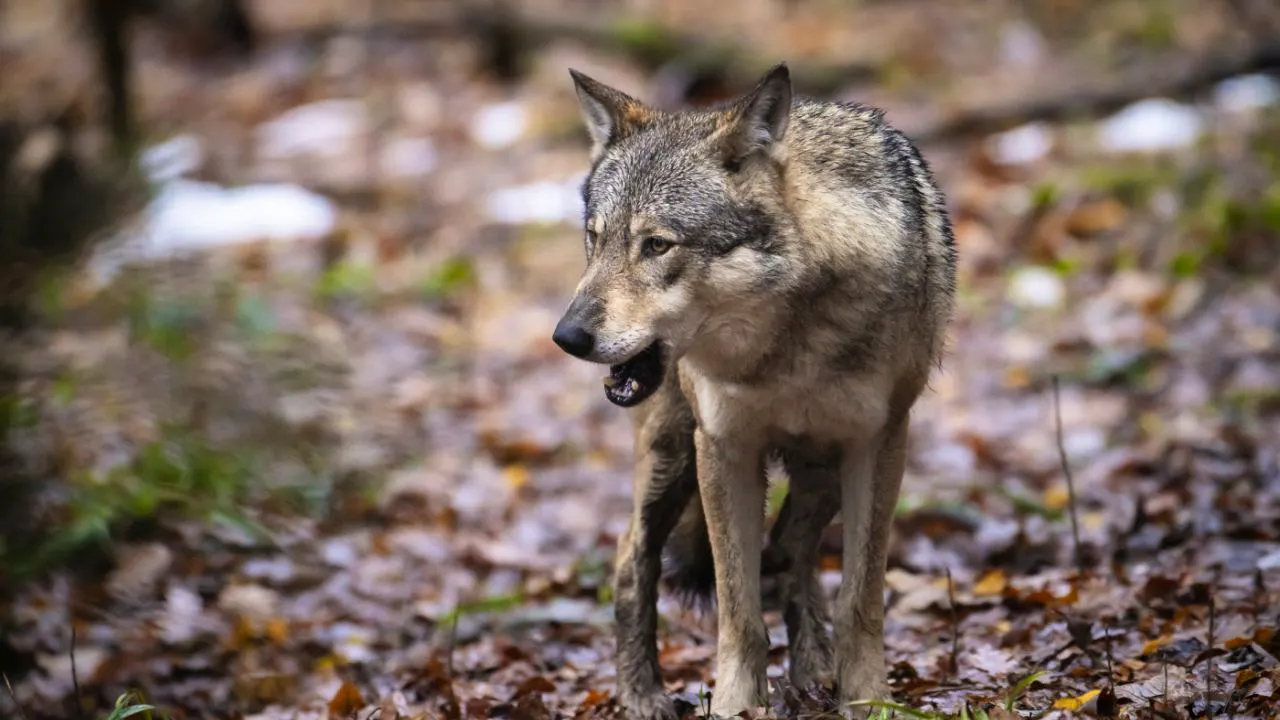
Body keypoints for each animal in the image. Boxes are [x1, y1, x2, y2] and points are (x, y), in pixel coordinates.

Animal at [552, 62, 956, 719]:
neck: (785, 348)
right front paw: (735, 705)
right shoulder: (724, 447)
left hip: (819, 472)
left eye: (657, 244)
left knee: (790, 552)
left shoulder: (878, 443)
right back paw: (642, 696)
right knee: (630, 559)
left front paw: (867, 700)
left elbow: (860, 599)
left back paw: (813, 669)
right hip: (672, 458)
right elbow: (737, 611)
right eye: (595, 238)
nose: (567, 336)